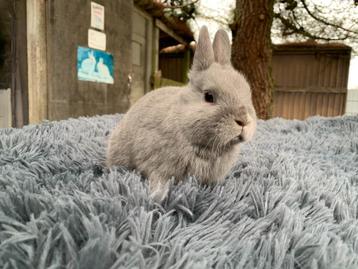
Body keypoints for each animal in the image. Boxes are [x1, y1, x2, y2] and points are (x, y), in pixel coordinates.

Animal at [105, 26, 256, 201]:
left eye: (248, 93)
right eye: (209, 97)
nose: (243, 120)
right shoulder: (156, 165)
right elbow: (158, 180)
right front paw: (157, 198)